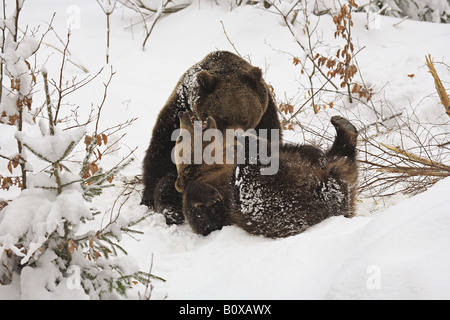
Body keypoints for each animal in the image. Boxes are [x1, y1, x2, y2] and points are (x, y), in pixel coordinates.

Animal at [141, 50, 282, 225]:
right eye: (223, 119)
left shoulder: (266, 119)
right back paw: (173, 211)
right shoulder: (177, 111)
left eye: (245, 119)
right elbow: (162, 156)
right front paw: (150, 200)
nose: (236, 140)